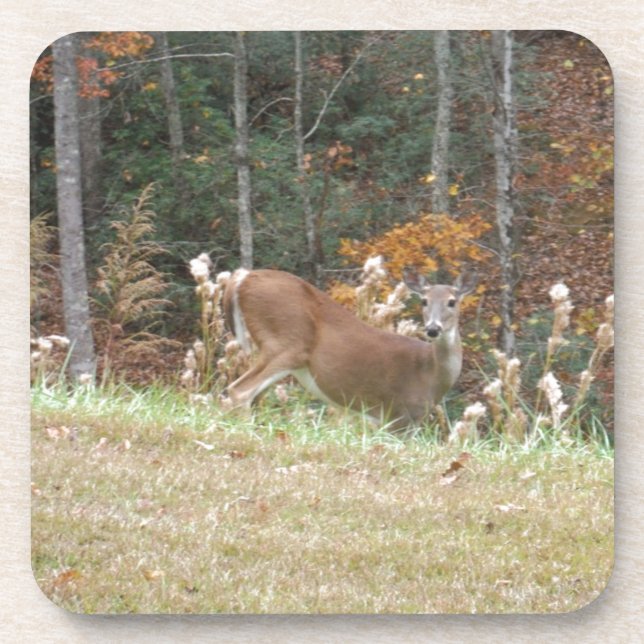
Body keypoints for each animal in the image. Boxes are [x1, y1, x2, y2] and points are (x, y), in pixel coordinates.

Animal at [222, 267, 477, 430]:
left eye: (452, 302)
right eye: (424, 301)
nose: (433, 329)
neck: (429, 372)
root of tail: (243, 277)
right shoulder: (399, 414)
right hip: (287, 342)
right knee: (240, 390)